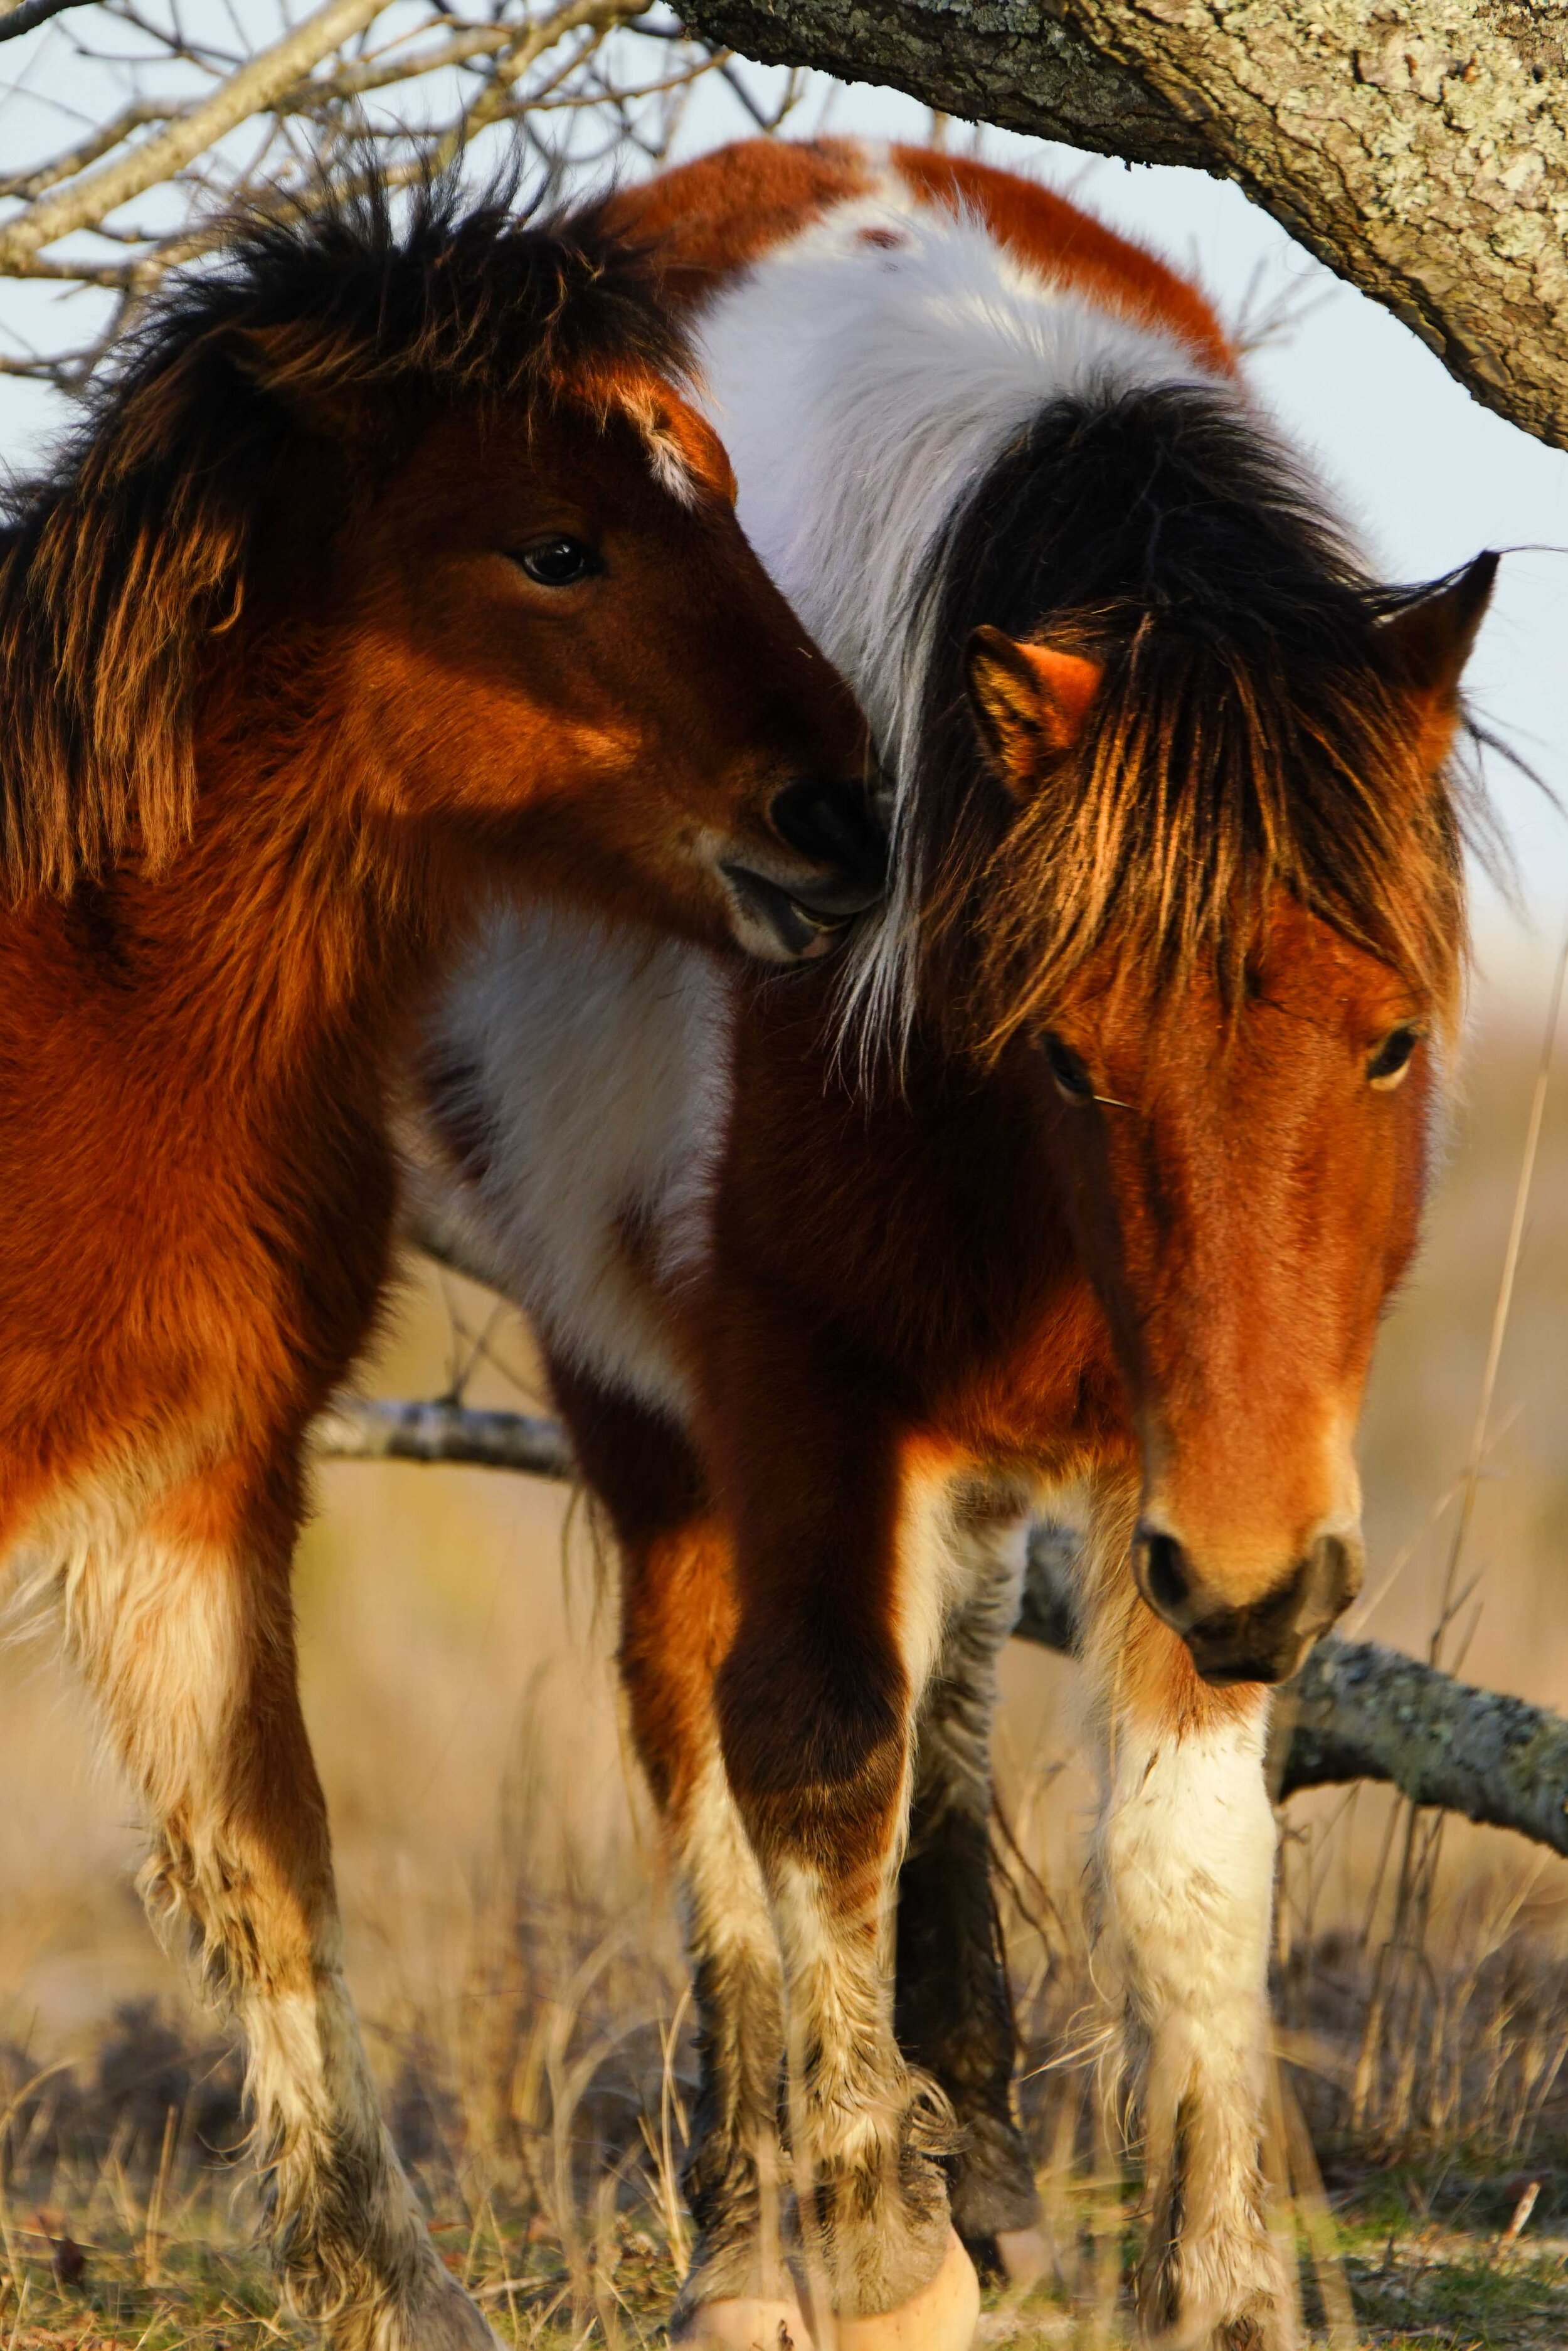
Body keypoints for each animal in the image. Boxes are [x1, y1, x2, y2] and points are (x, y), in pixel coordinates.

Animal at [0, 178, 884, 2351]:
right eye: (553, 546)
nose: (844, 821)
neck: (93, 996)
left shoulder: (189, 1495)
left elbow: (272, 1878)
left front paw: (393, 2294)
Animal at [423, 147, 1504, 2351]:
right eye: (1070, 1052)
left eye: (1386, 1039)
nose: (1256, 1583)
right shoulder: (800, 1384)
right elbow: (806, 1754)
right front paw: (868, 2250)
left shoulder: (1196, 1451)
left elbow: (1179, 1852)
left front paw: (1216, 2289)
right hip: (640, 1387)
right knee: (703, 1740)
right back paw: (760, 2238)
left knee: (954, 1695)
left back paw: (977, 2151)